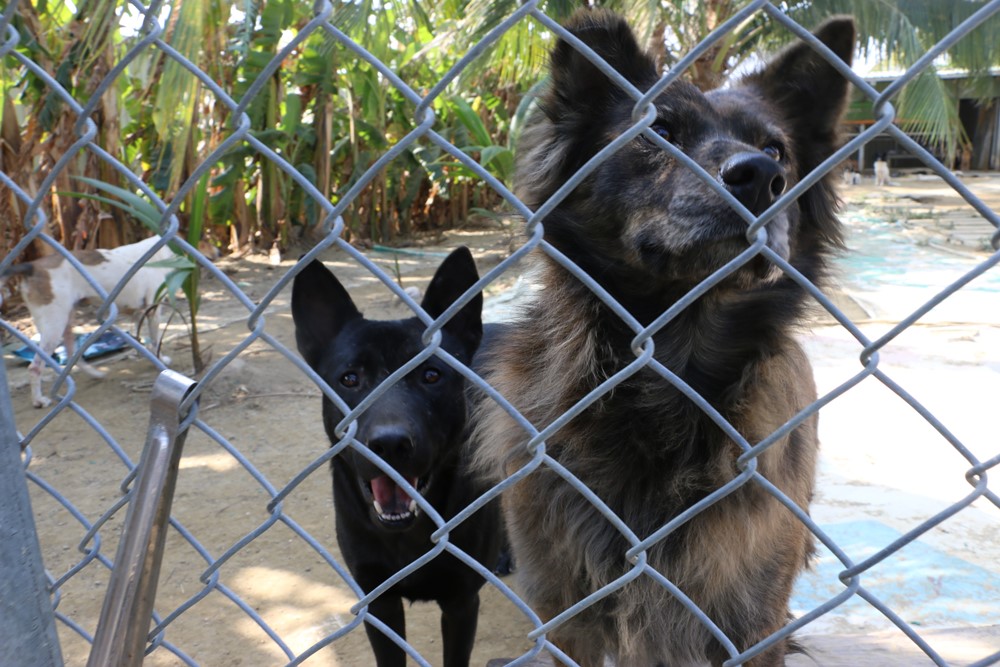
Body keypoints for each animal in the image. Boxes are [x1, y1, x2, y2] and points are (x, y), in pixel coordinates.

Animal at [0, 237, 175, 410]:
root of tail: (32, 266)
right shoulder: (153, 310)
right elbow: (156, 341)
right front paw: (161, 362)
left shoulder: (141, 313)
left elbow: (145, 341)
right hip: (54, 327)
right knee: (35, 367)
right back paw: (38, 400)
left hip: (65, 321)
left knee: (72, 354)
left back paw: (95, 374)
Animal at [292, 248, 504, 667]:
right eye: (350, 379)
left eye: (432, 375)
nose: (389, 444)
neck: (410, 535)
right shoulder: (378, 602)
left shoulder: (460, 603)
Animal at [472, 9, 856, 667]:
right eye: (660, 131)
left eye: (776, 148)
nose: (762, 177)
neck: (662, 376)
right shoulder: (561, 610)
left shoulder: (748, 620)